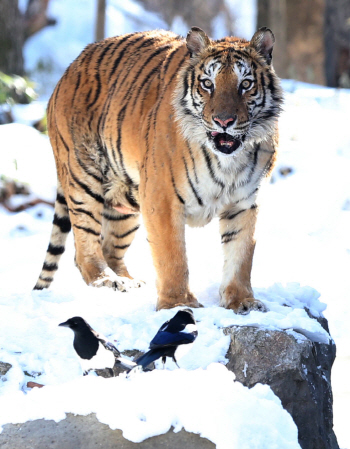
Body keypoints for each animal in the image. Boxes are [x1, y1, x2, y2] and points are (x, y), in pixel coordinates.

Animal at [34, 26, 284, 314]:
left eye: (245, 84)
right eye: (207, 84)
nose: (224, 121)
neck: (228, 162)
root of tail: (71, 67)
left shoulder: (243, 202)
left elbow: (241, 254)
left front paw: (242, 300)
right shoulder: (162, 197)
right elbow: (172, 255)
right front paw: (178, 303)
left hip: (125, 203)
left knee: (109, 248)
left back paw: (129, 282)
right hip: (84, 178)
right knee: (84, 250)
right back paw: (109, 281)